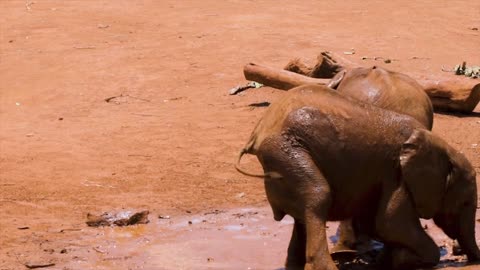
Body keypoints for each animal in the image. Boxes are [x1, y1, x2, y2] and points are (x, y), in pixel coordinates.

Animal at [234, 85, 478, 270]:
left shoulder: (382, 176)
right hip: (286, 152)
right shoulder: (397, 174)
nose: (471, 260)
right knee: (318, 197)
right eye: (465, 203)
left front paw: (388, 260)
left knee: (301, 217)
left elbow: (375, 223)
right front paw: (405, 260)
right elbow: (390, 223)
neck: (440, 145)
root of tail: (258, 131)